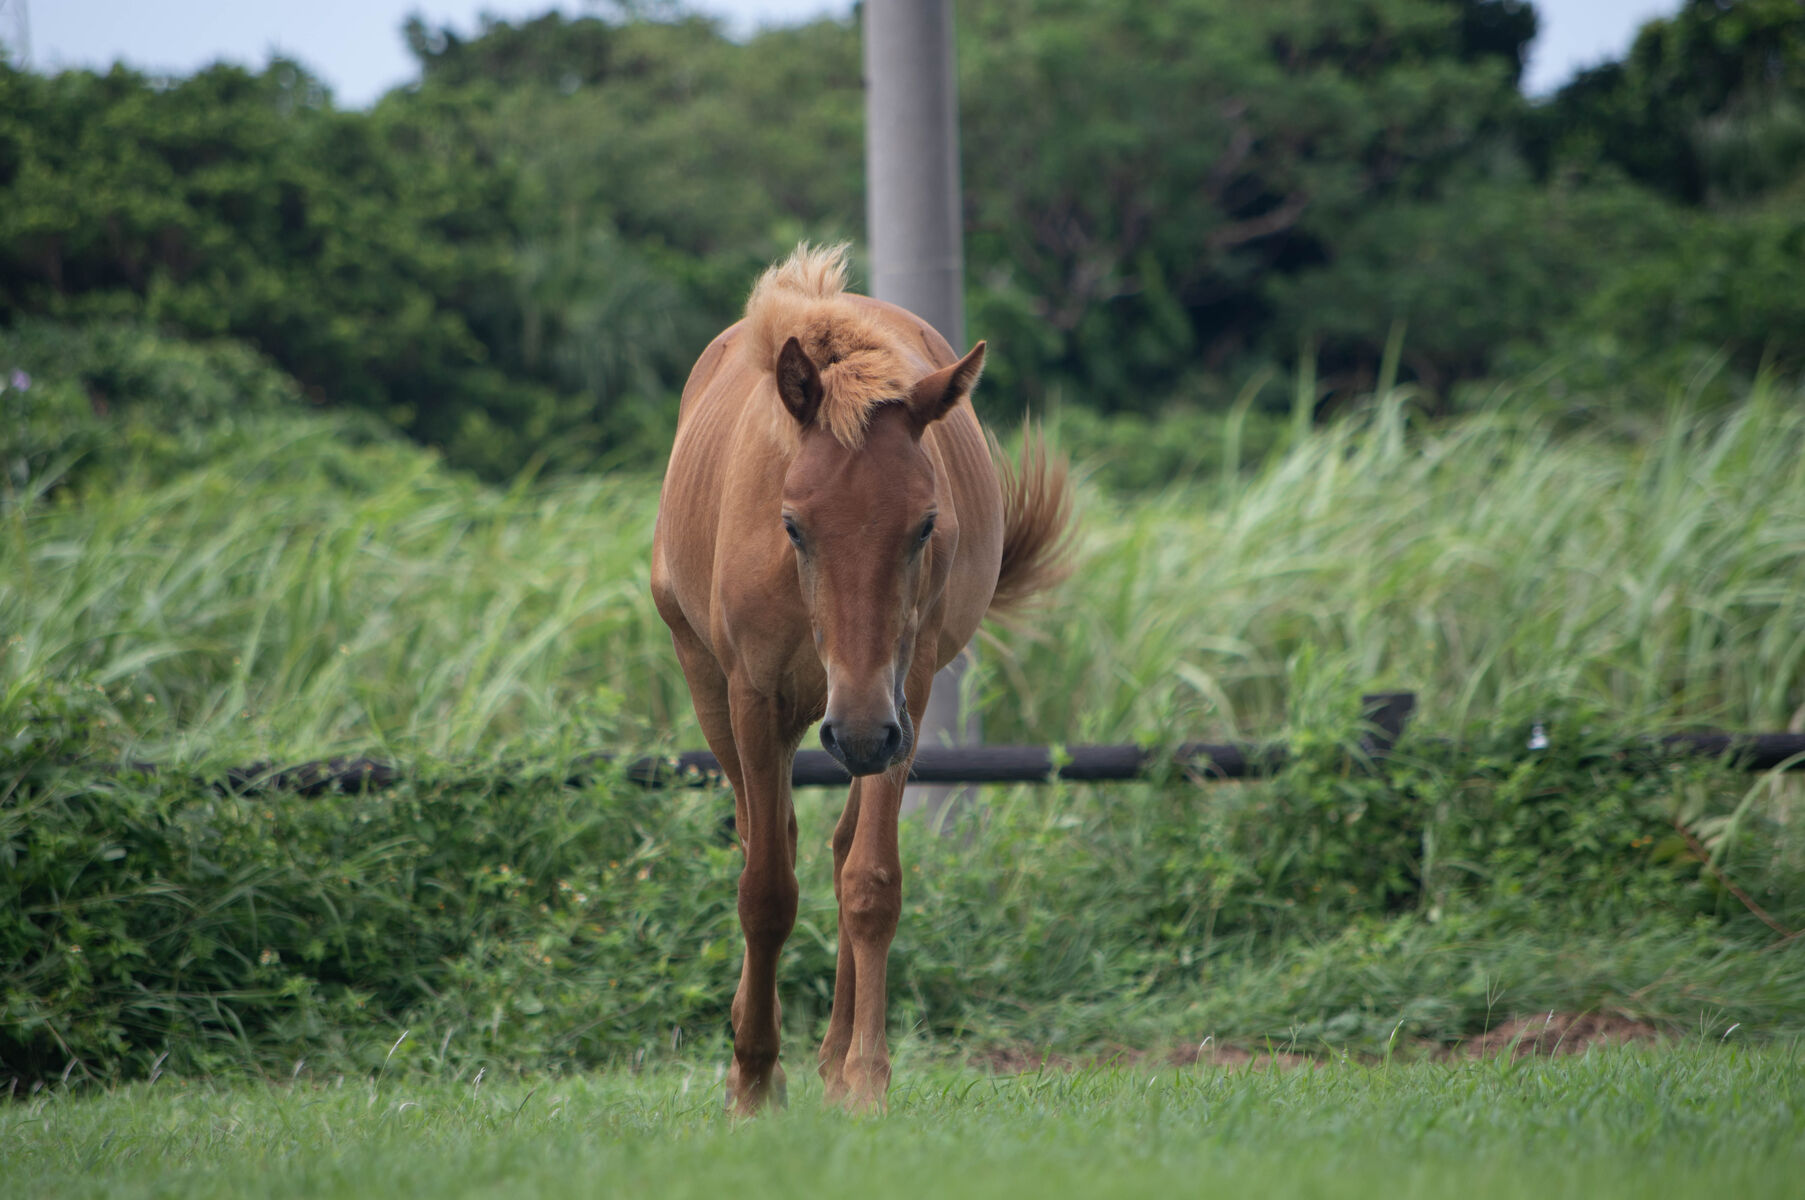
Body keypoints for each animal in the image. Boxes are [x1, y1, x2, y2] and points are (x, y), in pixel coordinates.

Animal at [650, 244, 1071, 1114]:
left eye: (924, 525)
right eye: (792, 524)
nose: (858, 732)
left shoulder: (899, 702)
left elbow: (869, 882)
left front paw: (865, 1081)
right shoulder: (755, 697)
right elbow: (765, 889)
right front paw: (752, 1081)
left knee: (841, 847)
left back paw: (830, 1059)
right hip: (717, 687)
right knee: (766, 836)